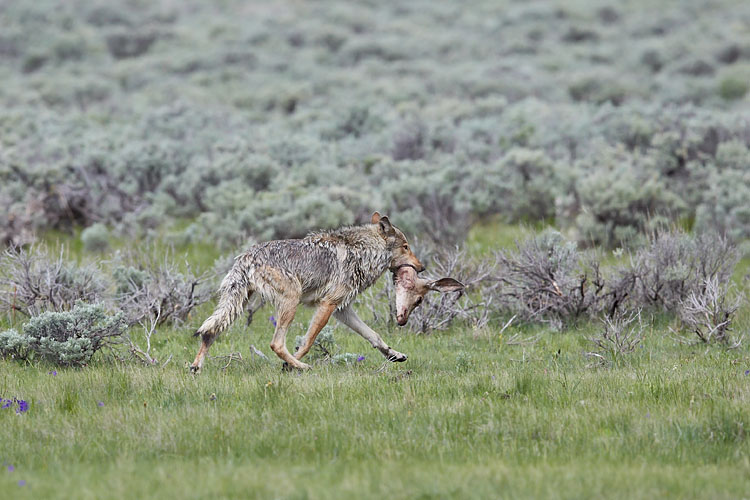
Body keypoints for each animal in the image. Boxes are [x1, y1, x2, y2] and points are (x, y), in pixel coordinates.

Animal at [192, 211, 428, 372]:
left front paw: (394, 355)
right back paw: (301, 367)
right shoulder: (328, 304)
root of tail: (246, 256)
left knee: (209, 332)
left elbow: (374, 335)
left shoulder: (342, 309)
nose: (423, 267)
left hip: (238, 304)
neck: (363, 252)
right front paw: (290, 365)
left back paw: (196, 367)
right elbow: (308, 341)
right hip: (290, 301)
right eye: (406, 247)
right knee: (276, 343)